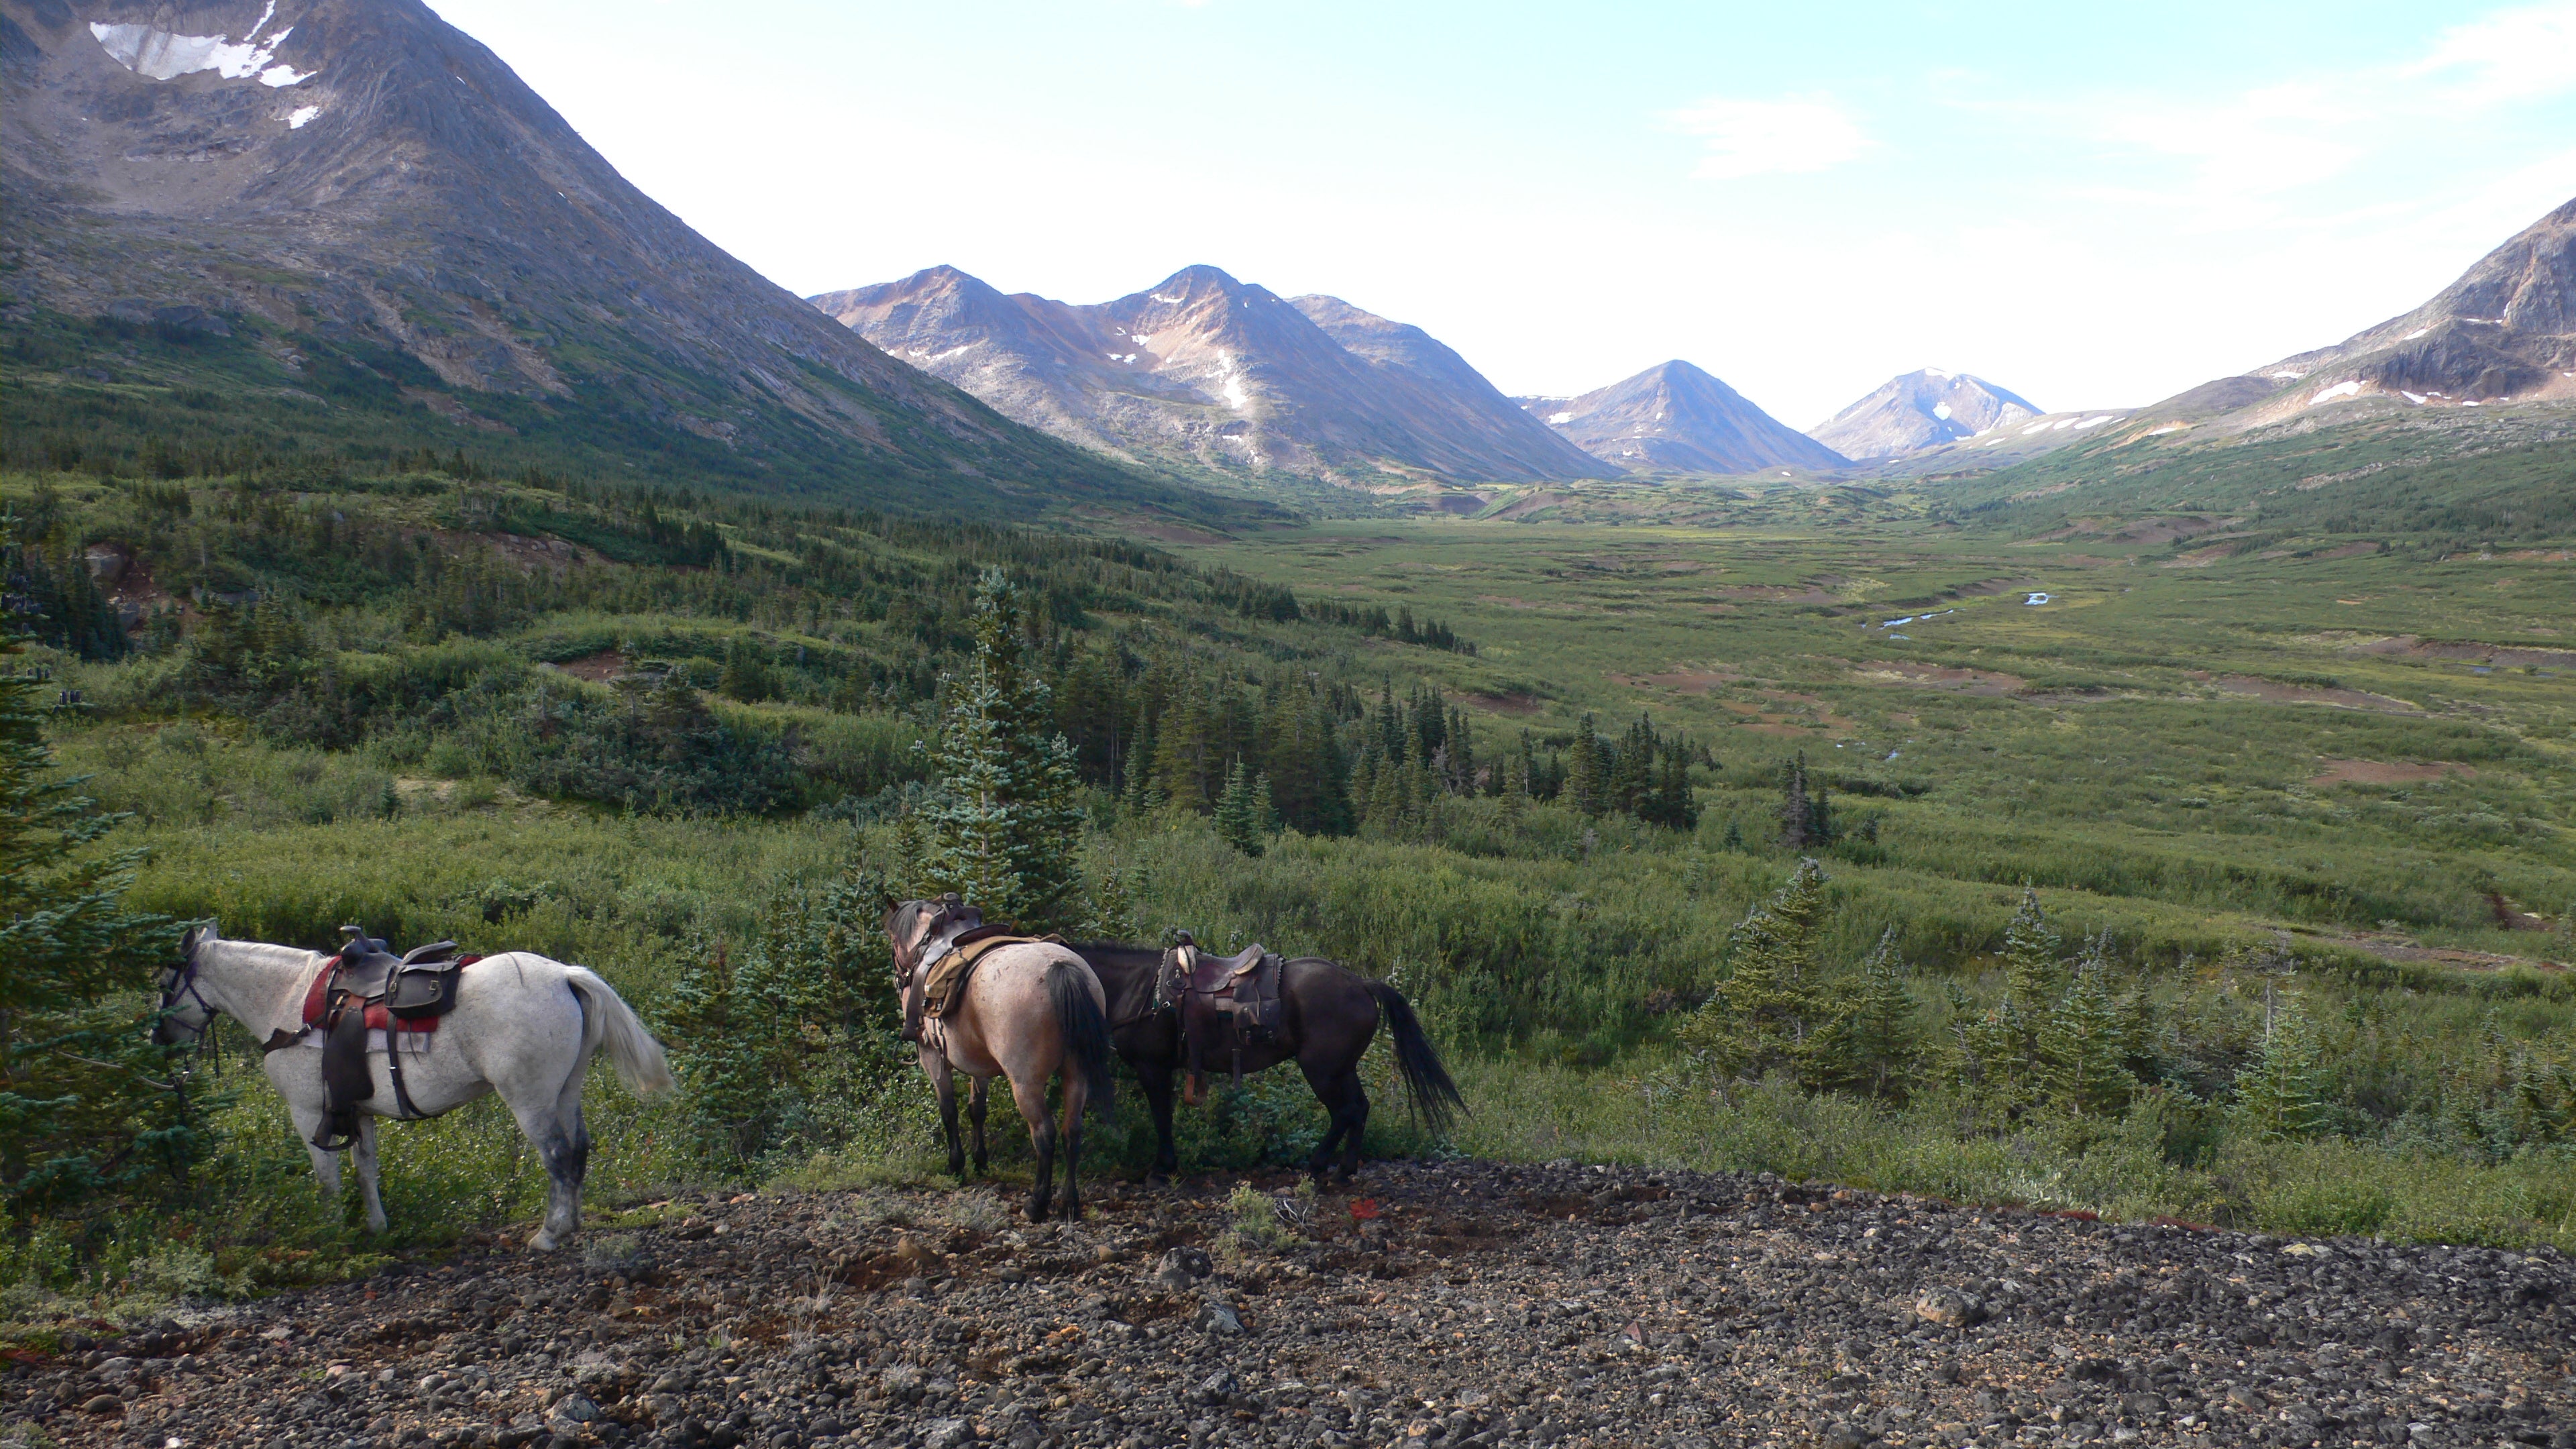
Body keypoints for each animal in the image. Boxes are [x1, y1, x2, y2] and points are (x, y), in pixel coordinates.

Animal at [149, 922, 675, 1242]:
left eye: (162, 984)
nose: (157, 1041)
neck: (289, 1000)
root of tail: (566, 975)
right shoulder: (357, 1110)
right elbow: (365, 1169)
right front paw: (377, 1228)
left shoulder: (307, 1114)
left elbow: (327, 1181)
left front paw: (334, 1235)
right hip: (566, 1090)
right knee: (579, 1150)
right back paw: (573, 1223)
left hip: (530, 1099)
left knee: (558, 1156)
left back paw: (550, 1233)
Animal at [885, 897, 1118, 1212]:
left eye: (893, 939)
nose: (900, 978)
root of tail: (1060, 968)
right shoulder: (979, 1065)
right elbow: (977, 1109)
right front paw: (980, 1160)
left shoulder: (932, 1056)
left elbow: (949, 1111)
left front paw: (956, 1164)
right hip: (1076, 1074)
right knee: (1072, 1130)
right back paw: (1069, 1200)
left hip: (1025, 1082)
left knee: (1044, 1133)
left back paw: (1037, 1204)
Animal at [1066, 938, 1473, 1185]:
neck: (1141, 991)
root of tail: (1362, 984)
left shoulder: (1152, 1067)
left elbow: (1161, 1116)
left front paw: (1161, 1168)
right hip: (1342, 1069)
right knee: (1359, 1108)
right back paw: (1342, 1169)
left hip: (1321, 1069)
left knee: (1345, 1111)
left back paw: (1318, 1166)